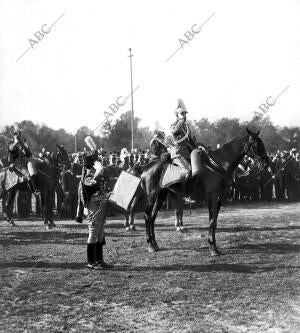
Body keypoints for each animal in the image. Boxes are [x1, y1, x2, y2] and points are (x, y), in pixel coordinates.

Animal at [137, 127, 268, 254]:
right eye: (256, 143)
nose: (265, 161)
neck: (219, 164)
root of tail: (146, 167)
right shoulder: (212, 196)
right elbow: (212, 221)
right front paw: (213, 247)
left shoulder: (219, 198)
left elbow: (214, 221)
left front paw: (212, 244)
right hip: (151, 196)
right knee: (147, 216)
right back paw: (150, 245)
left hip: (161, 195)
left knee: (153, 216)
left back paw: (155, 243)